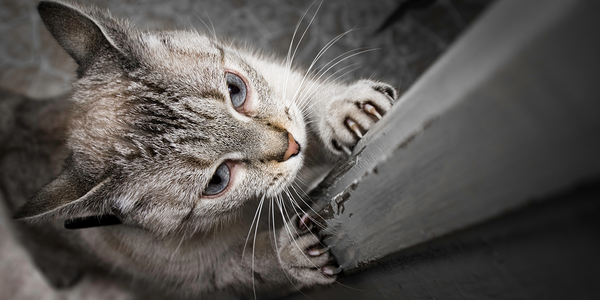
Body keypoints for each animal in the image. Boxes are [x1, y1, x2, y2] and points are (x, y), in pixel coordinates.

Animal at [2, 0, 398, 298]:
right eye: (217, 181)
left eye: (235, 90)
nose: (290, 146)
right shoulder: (208, 276)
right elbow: (252, 264)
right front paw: (290, 255)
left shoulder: (283, 91)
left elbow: (305, 105)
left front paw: (343, 111)